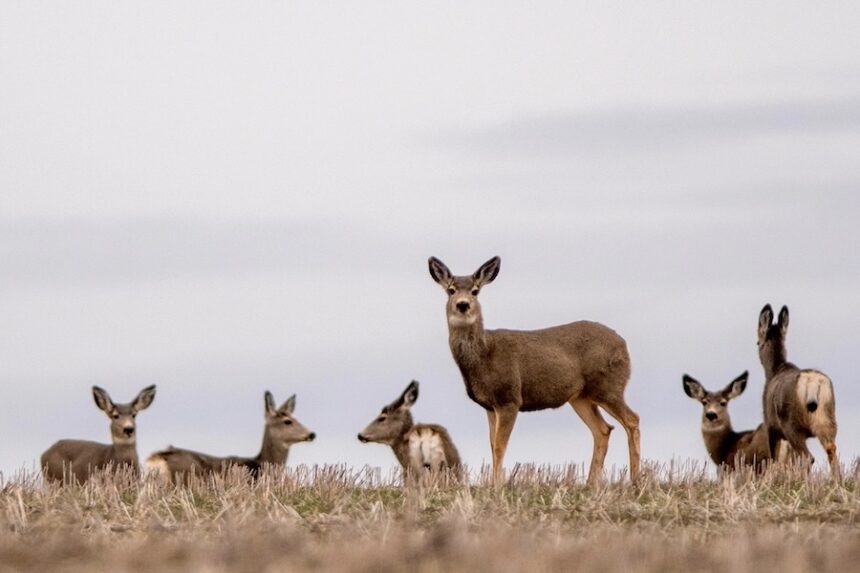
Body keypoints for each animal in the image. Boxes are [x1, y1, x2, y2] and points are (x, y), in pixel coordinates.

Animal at [427, 256, 640, 486]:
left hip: (608, 386)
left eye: (475, 291)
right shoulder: (490, 406)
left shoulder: (510, 398)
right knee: (603, 430)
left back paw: (635, 480)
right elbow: (492, 445)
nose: (463, 304)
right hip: (581, 397)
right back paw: (591, 484)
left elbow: (500, 446)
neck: (484, 355)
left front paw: (497, 485)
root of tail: (624, 345)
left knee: (632, 419)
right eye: (451, 290)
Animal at [757, 304, 840, 478]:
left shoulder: (770, 425)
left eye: (757, 342)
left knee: (808, 457)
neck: (774, 370)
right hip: (828, 418)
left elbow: (773, 460)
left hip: (791, 424)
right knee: (831, 450)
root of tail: (812, 382)